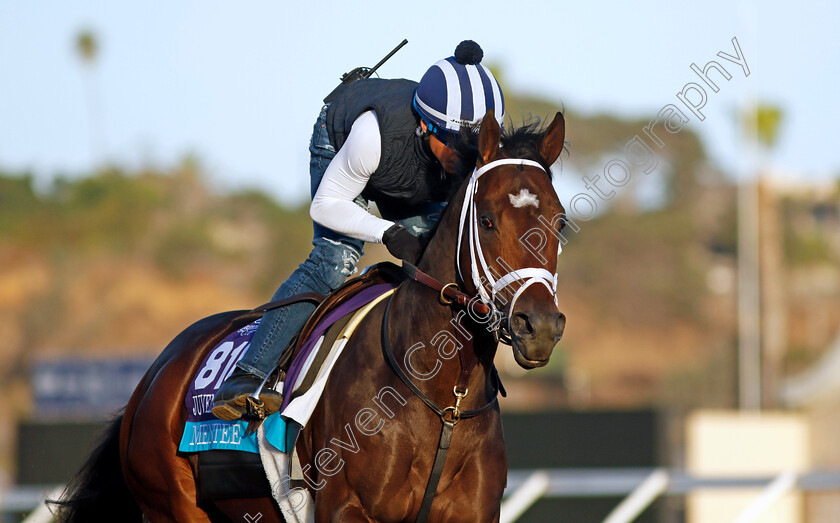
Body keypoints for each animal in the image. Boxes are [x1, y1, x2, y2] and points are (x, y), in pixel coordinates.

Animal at [50, 107, 564, 523]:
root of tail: (156, 373)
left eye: (559, 221)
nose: (538, 326)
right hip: (172, 505)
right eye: (487, 220)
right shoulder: (347, 509)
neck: (442, 398)